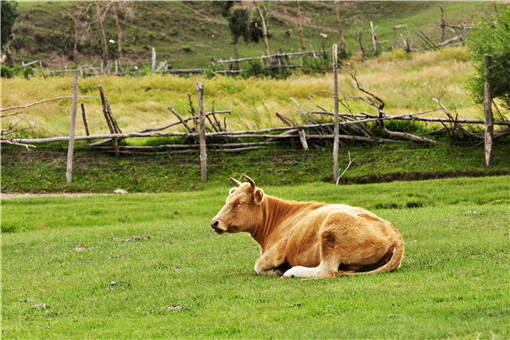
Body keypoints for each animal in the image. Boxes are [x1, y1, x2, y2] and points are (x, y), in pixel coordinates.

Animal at [209, 175, 404, 278]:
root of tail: (394, 234)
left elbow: (258, 266)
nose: (214, 222)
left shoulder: (272, 255)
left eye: (239, 203)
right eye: (227, 200)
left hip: (332, 227)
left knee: (326, 270)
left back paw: (292, 271)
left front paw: (279, 270)